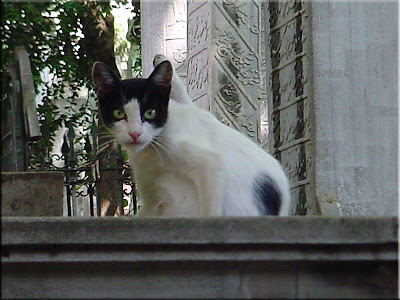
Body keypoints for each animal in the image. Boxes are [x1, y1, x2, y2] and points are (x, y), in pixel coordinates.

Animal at [91, 55, 290, 217]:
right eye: (118, 113)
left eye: (150, 113)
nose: (134, 133)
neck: (154, 146)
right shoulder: (150, 188)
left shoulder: (208, 163)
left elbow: (210, 209)